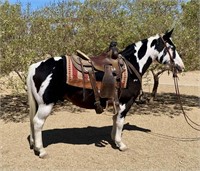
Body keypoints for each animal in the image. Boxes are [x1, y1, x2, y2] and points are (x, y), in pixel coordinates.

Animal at [26, 29, 184, 158]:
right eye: (172, 48)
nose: (181, 66)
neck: (131, 65)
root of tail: (35, 66)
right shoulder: (126, 102)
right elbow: (120, 121)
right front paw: (120, 144)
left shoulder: (117, 102)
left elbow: (115, 120)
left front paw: (114, 139)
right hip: (46, 104)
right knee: (38, 122)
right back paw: (41, 150)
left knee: (33, 122)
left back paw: (34, 145)